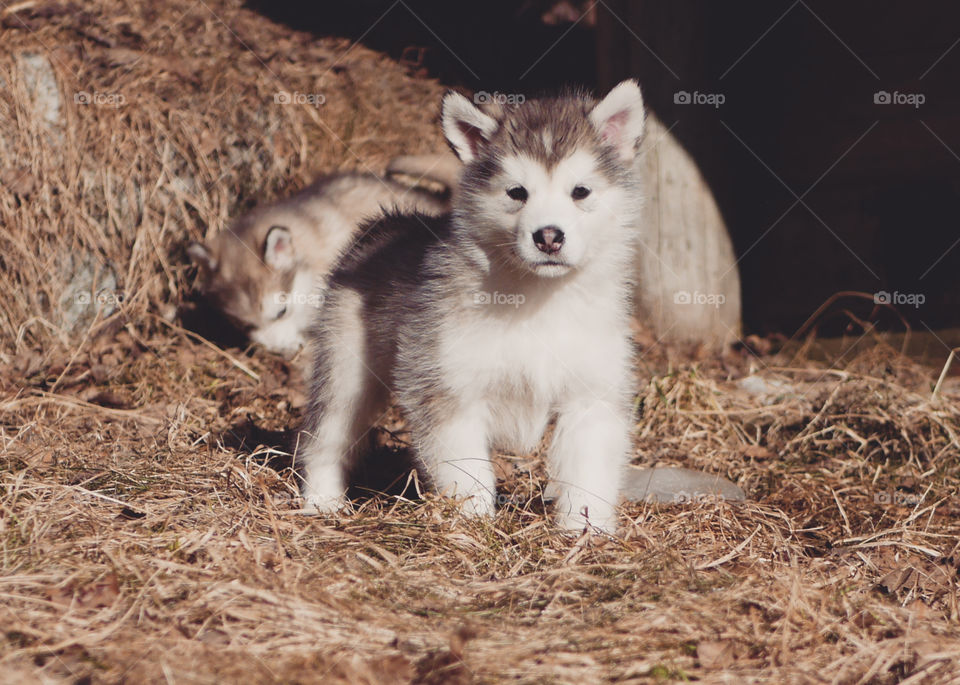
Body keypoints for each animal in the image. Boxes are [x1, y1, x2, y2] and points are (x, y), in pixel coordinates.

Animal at [298, 79, 644, 528]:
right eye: (517, 192)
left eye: (580, 191)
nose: (549, 236)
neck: (536, 298)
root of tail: (387, 223)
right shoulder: (447, 387)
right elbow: (465, 471)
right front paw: (472, 523)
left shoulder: (592, 394)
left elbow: (587, 471)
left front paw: (586, 530)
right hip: (345, 371)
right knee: (327, 436)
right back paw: (321, 502)